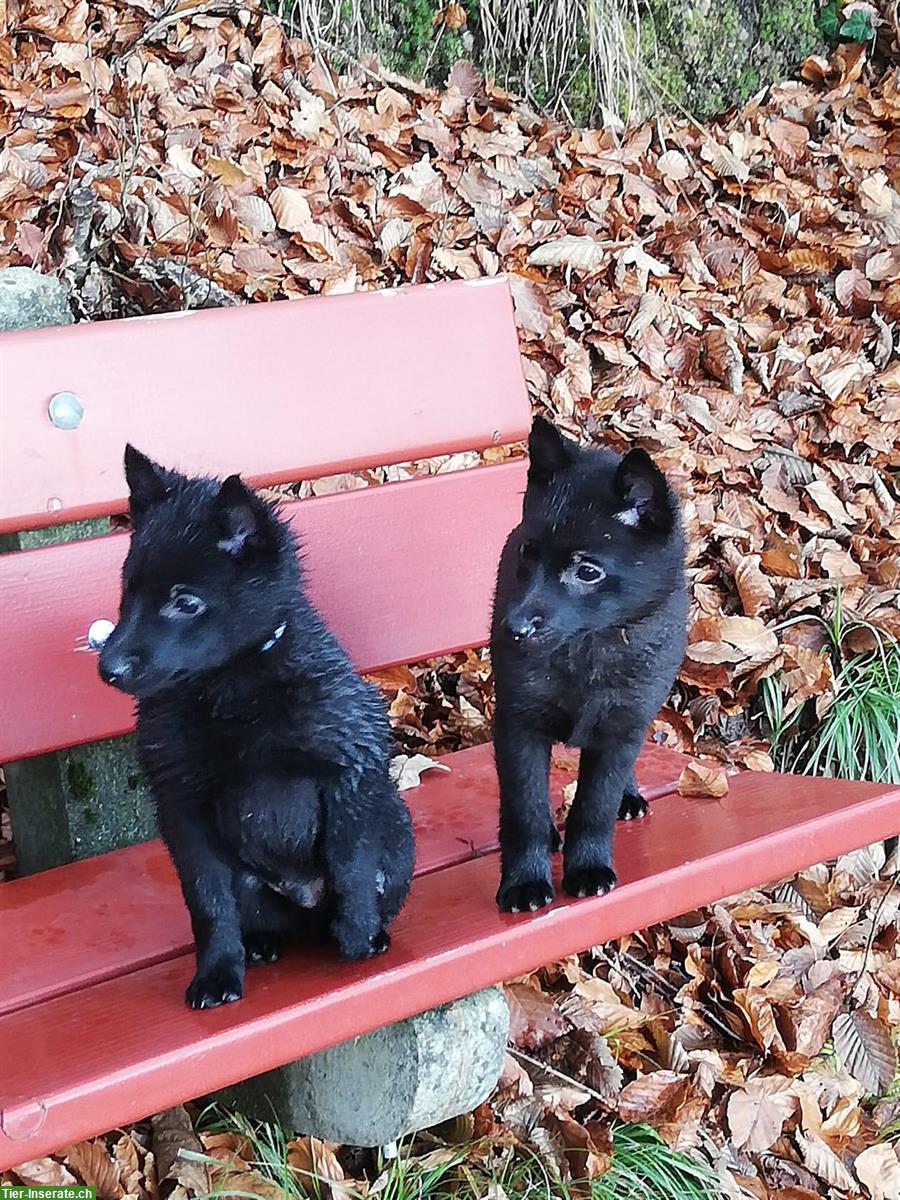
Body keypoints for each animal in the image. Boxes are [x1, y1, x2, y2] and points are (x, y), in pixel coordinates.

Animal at [98, 446, 415, 1008]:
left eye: (186, 602)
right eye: (127, 591)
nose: (107, 668)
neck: (233, 689)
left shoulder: (348, 767)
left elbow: (352, 864)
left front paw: (358, 937)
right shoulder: (182, 807)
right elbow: (209, 902)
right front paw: (217, 972)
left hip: (397, 835)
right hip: (253, 884)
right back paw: (263, 943)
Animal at [489, 417, 686, 912]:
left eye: (588, 571)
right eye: (527, 552)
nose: (513, 627)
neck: (588, 647)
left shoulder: (622, 725)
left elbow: (595, 806)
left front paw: (589, 868)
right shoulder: (519, 723)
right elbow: (524, 809)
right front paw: (524, 881)